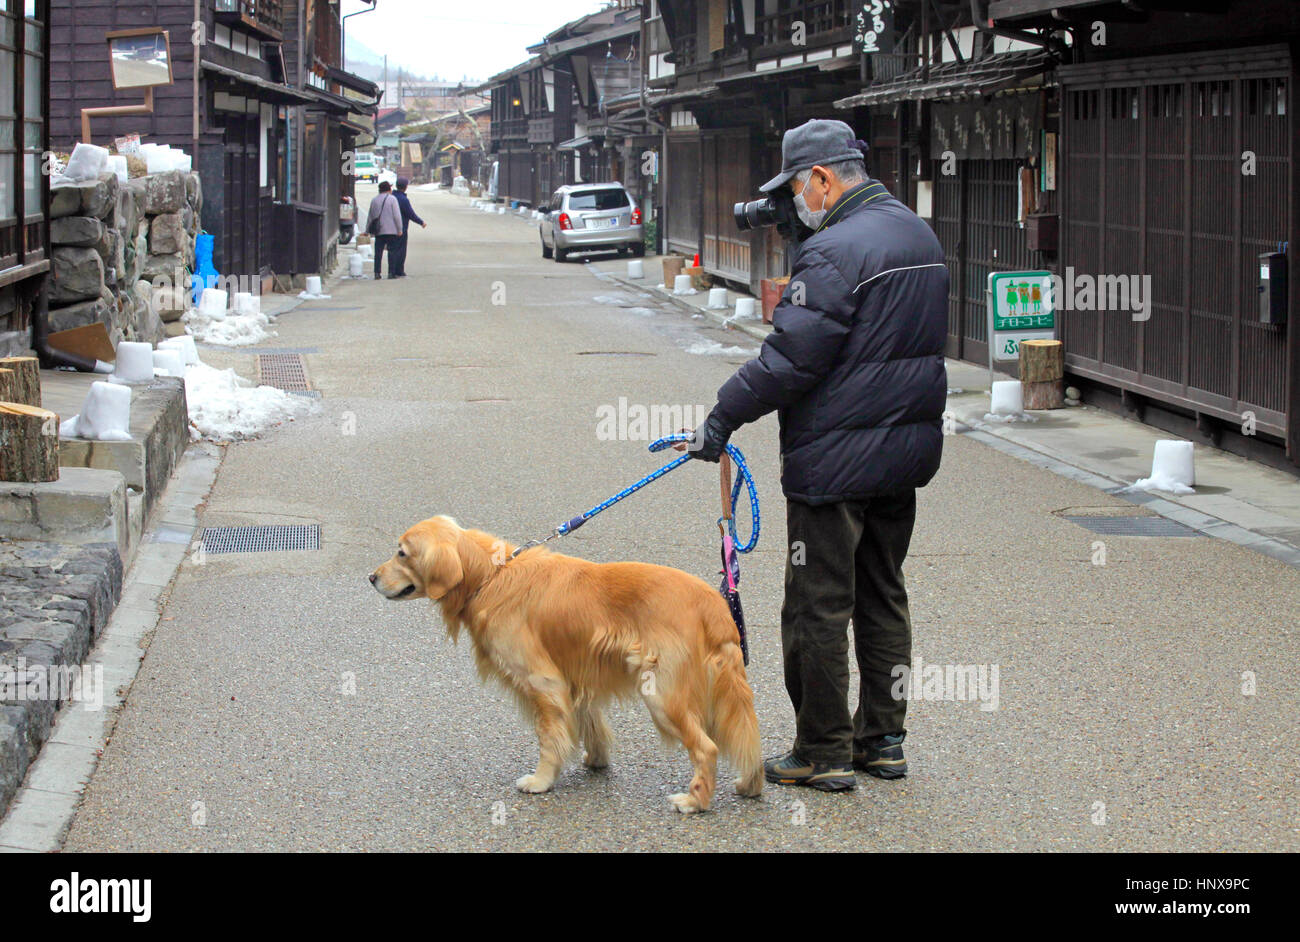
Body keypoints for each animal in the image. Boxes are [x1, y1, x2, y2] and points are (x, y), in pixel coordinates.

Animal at [371, 511, 759, 810]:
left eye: (402, 553)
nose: (371, 577)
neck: (492, 576)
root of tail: (714, 606)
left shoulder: (544, 681)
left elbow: (549, 738)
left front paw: (541, 780)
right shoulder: (575, 676)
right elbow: (590, 725)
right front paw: (596, 761)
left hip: (662, 695)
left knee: (707, 748)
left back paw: (695, 801)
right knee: (744, 738)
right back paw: (750, 783)